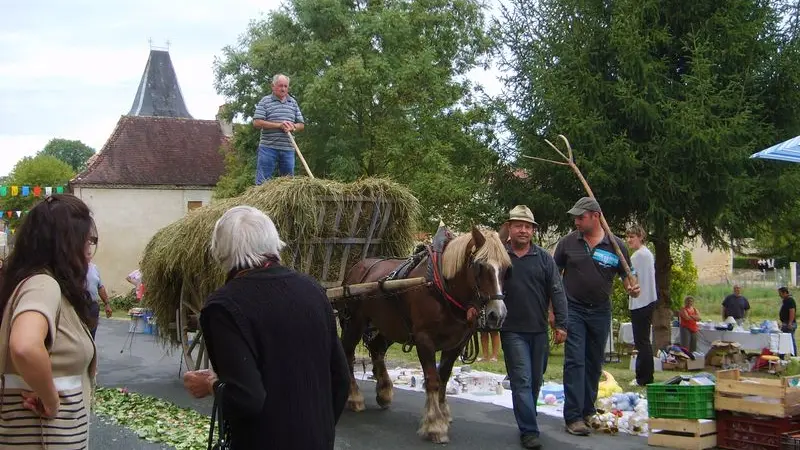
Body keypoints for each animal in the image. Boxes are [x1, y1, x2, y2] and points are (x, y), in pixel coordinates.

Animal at [338, 225, 512, 442]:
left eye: (506, 268)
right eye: (480, 266)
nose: (497, 315)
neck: (442, 285)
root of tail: (357, 267)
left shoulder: (456, 343)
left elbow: (444, 377)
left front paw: (443, 414)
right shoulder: (424, 340)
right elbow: (432, 380)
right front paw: (434, 425)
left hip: (386, 325)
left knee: (377, 350)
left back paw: (384, 392)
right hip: (355, 322)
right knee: (348, 353)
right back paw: (354, 397)